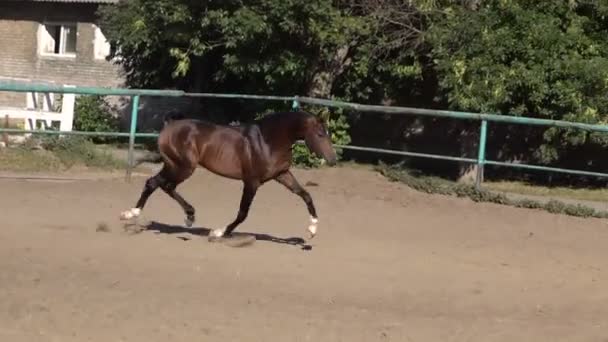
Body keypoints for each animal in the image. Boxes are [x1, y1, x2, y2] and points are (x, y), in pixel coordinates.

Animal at [119, 111, 338, 239]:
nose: (333, 159)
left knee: (160, 185)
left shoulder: (282, 174)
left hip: (175, 166)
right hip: (182, 167)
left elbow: (305, 195)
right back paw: (134, 213)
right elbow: (243, 212)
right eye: (320, 134)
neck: (268, 141)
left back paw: (184, 216)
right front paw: (219, 232)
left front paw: (312, 229)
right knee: (157, 183)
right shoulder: (252, 181)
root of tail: (169, 126)